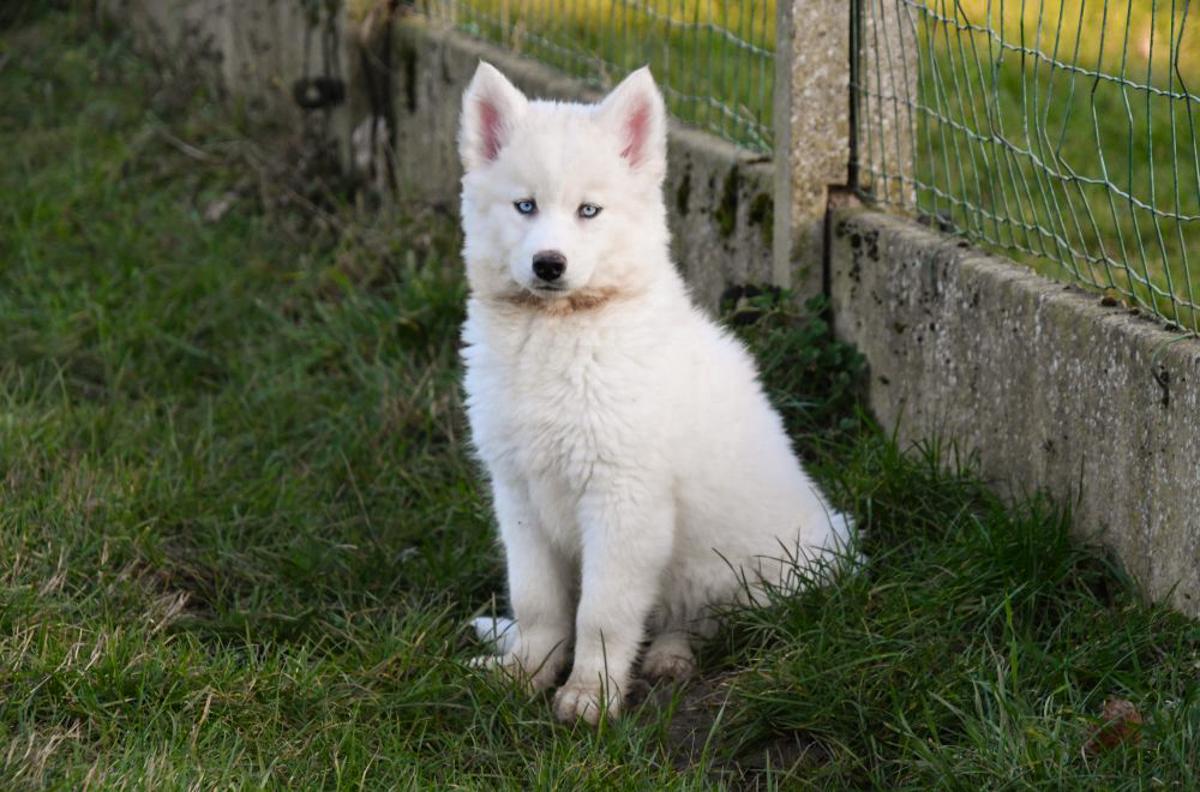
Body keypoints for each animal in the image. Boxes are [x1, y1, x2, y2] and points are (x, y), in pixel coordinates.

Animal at [456, 63, 854, 724]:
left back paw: (671, 656)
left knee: (706, 621)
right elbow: (538, 602)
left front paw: (590, 695)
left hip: (760, 571)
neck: (560, 329)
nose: (548, 264)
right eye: (525, 206)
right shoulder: (518, 493)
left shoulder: (624, 500)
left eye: (589, 210)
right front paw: (524, 674)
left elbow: (602, 614)